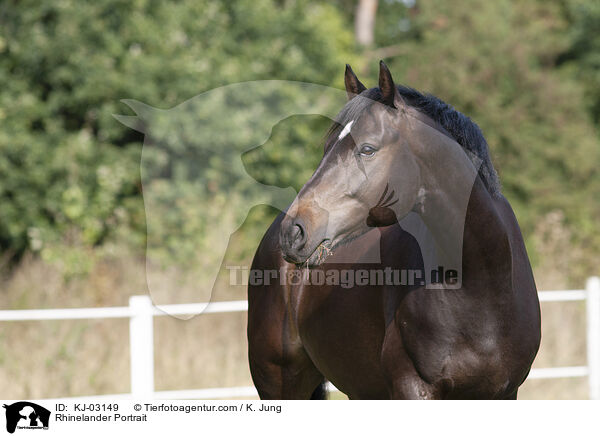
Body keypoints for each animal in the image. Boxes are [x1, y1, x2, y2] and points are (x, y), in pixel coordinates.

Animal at [246, 61, 540, 398]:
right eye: (327, 148)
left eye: (367, 149)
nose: (294, 231)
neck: (483, 282)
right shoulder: (411, 387)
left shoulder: (505, 391)